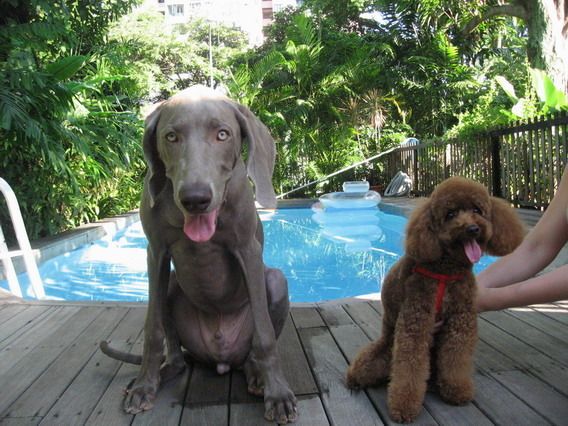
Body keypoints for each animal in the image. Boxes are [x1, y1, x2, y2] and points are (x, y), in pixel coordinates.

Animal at [100, 86, 297, 424]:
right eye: (171, 137)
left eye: (223, 134)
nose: (195, 199)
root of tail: (221, 359)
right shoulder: (156, 252)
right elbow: (152, 330)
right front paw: (144, 386)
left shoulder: (247, 249)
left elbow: (265, 334)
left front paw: (278, 395)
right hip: (171, 285)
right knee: (177, 357)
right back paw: (165, 372)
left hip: (276, 280)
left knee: (254, 346)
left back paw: (257, 375)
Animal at [346, 176, 525, 423]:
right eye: (450, 214)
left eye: (477, 210)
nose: (472, 228)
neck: (445, 272)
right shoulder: (416, 321)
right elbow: (410, 365)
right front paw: (404, 406)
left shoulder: (460, 321)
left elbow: (455, 358)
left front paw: (457, 390)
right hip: (383, 352)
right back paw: (355, 378)